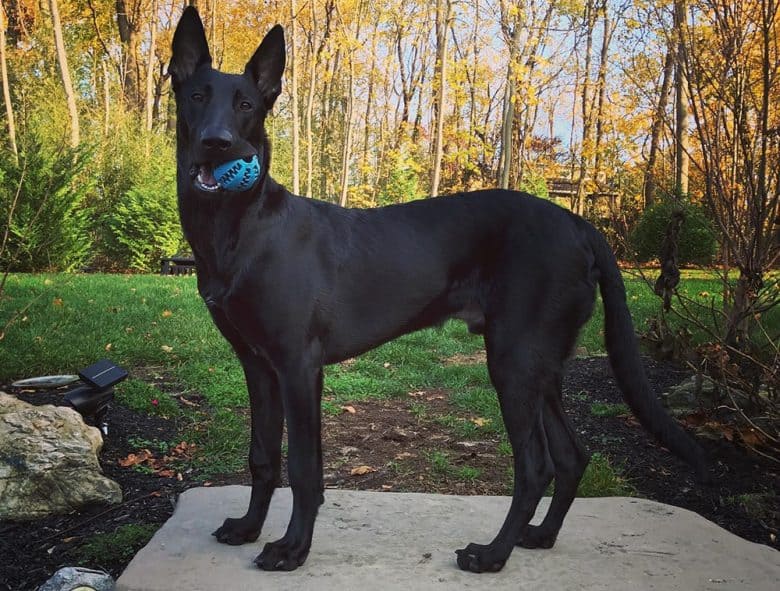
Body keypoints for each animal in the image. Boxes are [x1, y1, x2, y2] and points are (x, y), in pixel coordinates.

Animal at [169, 8, 708, 572]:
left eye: (247, 105)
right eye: (197, 96)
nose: (217, 143)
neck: (240, 226)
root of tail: (580, 223)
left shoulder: (299, 365)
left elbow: (303, 467)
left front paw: (293, 548)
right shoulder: (258, 365)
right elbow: (263, 456)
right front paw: (249, 528)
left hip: (513, 361)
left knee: (535, 465)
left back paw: (492, 554)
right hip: (541, 365)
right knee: (571, 456)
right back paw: (537, 536)